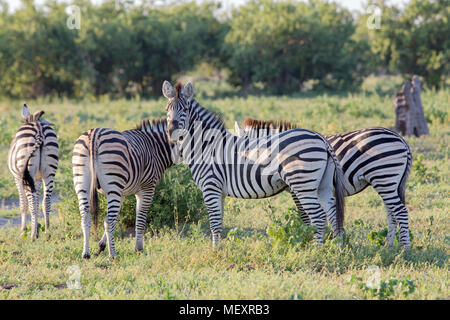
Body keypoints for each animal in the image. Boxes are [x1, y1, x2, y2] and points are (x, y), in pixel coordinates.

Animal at [7, 104, 58, 241]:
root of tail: (38, 128)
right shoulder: (37, 179)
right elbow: (37, 201)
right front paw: (37, 227)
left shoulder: (18, 178)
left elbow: (23, 204)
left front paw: (23, 230)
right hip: (49, 172)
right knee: (46, 201)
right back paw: (47, 231)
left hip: (25, 170)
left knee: (30, 203)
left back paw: (32, 235)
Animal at [72, 117, 179, 260]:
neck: (156, 149)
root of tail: (94, 135)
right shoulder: (147, 189)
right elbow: (140, 220)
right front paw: (139, 249)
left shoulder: (121, 193)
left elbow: (116, 217)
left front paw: (101, 246)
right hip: (113, 183)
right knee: (109, 221)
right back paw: (113, 255)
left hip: (83, 183)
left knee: (86, 217)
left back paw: (86, 254)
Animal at [163, 80, 346, 245]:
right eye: (167, 110)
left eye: (185, 109)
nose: (172, 132)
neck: (206, 146)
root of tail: (321, 138)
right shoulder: (220, 192)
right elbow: (219, 224)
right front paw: (219, 250)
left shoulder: (211, 187)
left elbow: (214, 224)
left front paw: (213, 253)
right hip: (323, 184)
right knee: (333, 213)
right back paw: (338, 249)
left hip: (303, 183)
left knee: (318, 216)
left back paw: (317, 251)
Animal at [234, 117, 414, 248]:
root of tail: (401, 139)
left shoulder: (297, 188)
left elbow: (305, 215)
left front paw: (309, 237)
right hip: (388, 182)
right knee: (391, 213)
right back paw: (389, 246)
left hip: (384, 176)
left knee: (400, 212)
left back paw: (404, 249)